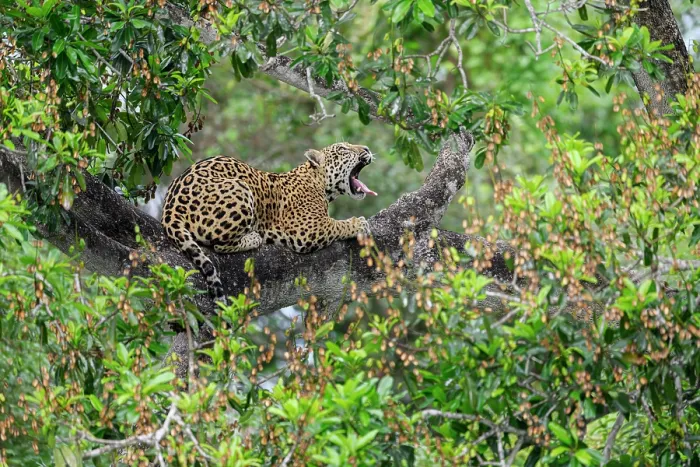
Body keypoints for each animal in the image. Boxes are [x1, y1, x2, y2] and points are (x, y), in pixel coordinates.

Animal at [161, 142, 376, 302]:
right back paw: (254, 237)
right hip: (241, 190)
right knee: (218, 243)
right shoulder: (307, 229)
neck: (320, 184)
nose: (367, 149)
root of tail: (169, 208)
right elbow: (336, 224)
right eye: (344, 149)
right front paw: (358, 224)